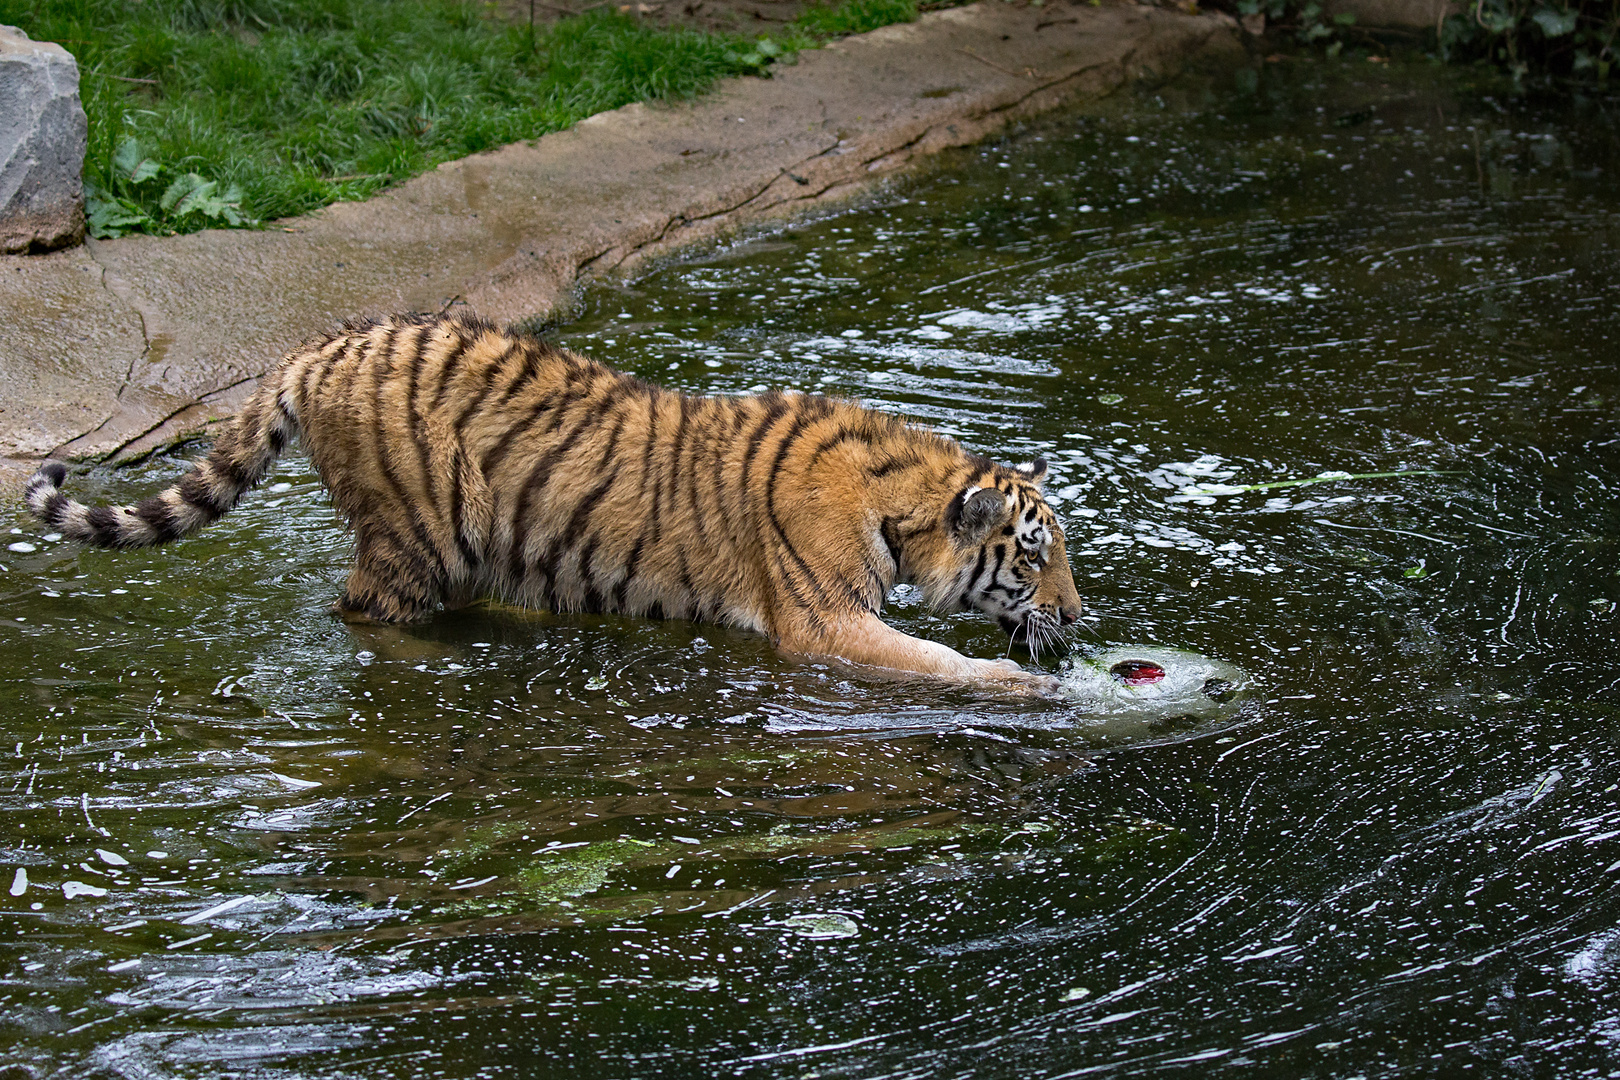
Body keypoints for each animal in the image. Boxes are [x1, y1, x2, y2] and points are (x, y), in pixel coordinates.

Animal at [25, 310, 1082, 693]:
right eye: (1034, 554)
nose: (1077, 617)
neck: (901, 499)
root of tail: (322, 346)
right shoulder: (824, 623)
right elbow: (938, 660)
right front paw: (1026, 689)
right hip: (413, 535)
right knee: (365, 615)